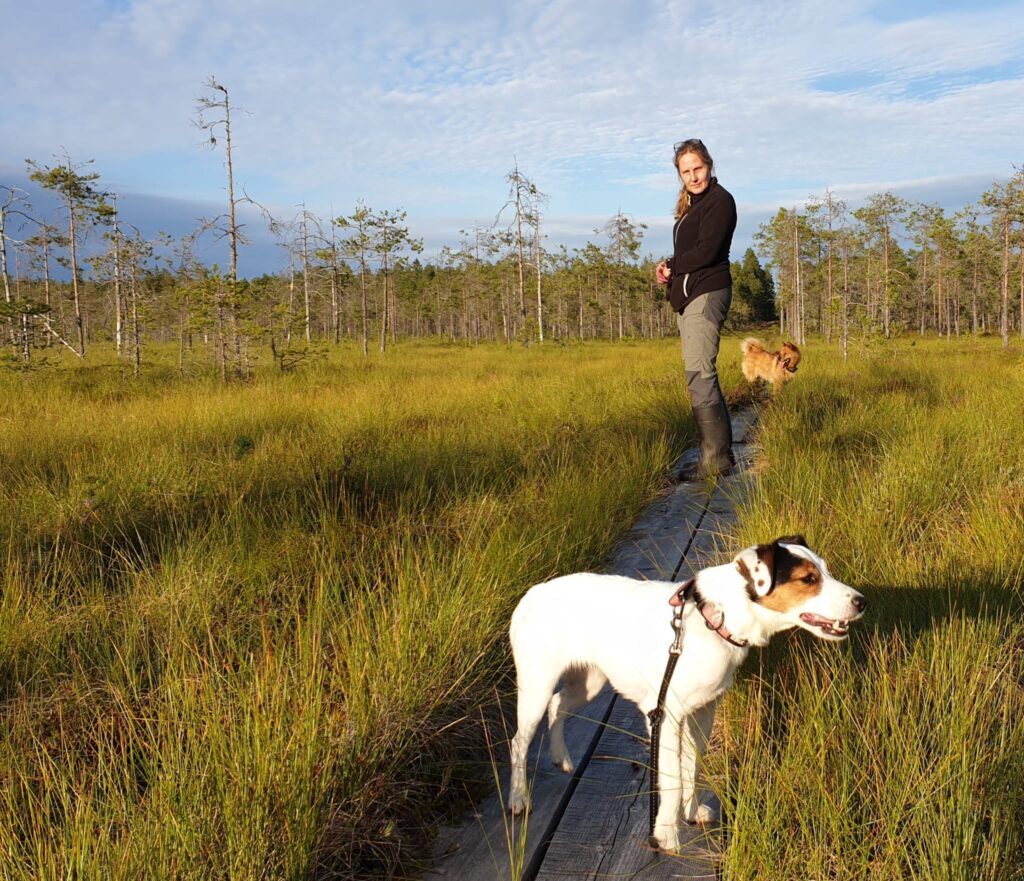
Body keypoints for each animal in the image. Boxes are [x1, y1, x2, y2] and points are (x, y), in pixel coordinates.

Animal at [503, 536, 864, 852]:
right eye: (808, 578)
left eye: (826, 571)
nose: (861, 602)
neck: (714, 618)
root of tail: (535, 592)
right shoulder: (664, 715)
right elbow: (673, 777)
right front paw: (665, 834)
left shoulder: (703, 712)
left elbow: (692, 767)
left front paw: (691, 813)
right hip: (536, 686)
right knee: (519, 741)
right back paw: (519, 799)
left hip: (589, 682)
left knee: (558, 705)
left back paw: (561, 756)